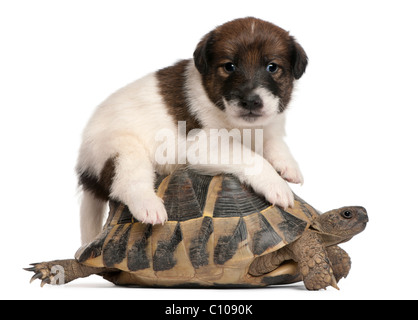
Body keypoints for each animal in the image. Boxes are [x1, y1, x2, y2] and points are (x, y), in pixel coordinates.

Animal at [77, 16, 306, 242]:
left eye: (272, 67)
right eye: (229, 66)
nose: (250, 101)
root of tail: (85, 169)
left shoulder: (268, 127)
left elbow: (274, 143)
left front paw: (289, 166)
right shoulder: (205, 145)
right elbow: (252, 158)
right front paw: (276, 185)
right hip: (121, 149)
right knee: (128, 182)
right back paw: (149, 206)